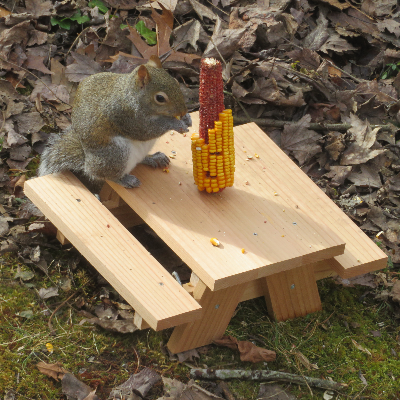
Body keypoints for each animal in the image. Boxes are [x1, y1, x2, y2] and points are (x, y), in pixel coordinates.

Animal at [38, 55, 191, 191]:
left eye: (176, 82)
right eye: (160, 98)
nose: (183, 110)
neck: (131, 95)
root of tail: (87, 163)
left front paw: (186, 118)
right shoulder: (125, 116)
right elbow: (146, 131)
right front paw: (176, 124)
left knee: (138, 160)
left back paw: (153, 158)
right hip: (116, 154)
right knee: (104, 175)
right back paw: (125, 180)